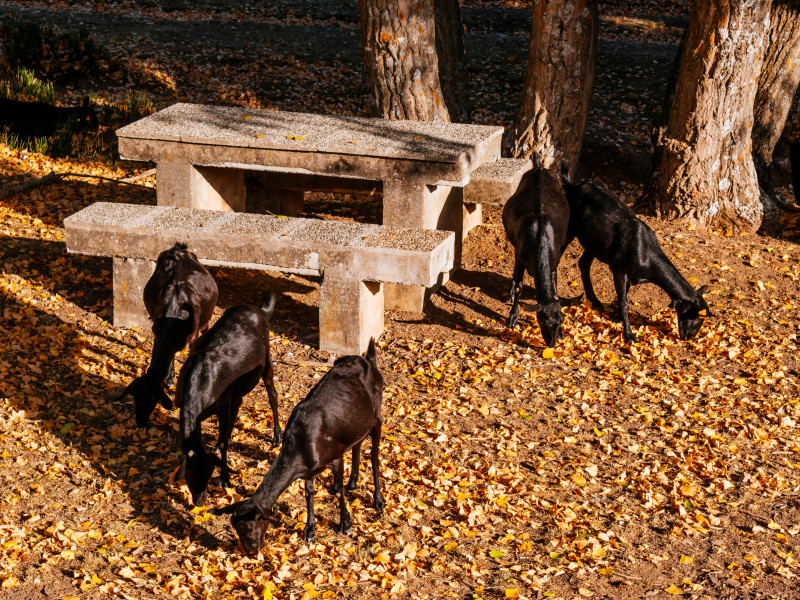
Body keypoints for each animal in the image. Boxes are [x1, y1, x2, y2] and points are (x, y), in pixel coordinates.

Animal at [115, 241, 216, 428]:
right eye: (134, 396)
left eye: (153, 399)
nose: (140, 422)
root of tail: (178, 250)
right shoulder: (157, 330)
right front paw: (169, 378)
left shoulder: (192, 336)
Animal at [176, 292, 282, 508]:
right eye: (191, 474)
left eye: (209, 473)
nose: (201, 501)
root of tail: (258, 309)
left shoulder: (224, 404)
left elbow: (226, 441)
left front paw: (225, 479)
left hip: (267, 357)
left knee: (272, 395)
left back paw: (277, 437)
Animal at [214, 338, 382, 552]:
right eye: (237, 529)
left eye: (249, 529)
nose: (252, 550)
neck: (301, 447)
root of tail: (369, 360)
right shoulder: (309, 469)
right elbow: (309, 492)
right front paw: (310, 530)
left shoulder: (335, 456)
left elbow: (337, 489)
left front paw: (346, 524)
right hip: (357, 423)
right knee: (357, 443)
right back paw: (352, 483)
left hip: (377, 416)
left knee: (375, 455)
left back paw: (378, 501)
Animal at [504, 163, 580, 346]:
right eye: (542, 320)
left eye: (561, 320)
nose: (551, 344)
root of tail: (539, 167)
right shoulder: (520, 256)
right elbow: (519, 286)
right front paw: (513, 316)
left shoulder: (554, 263)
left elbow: (555, 290)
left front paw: (562, 333)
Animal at [564, 179, 712, 342]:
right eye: (696, 315)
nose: (690, 337)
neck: (648, 264)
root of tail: (574, 185)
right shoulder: (618, 269)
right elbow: (624, 302)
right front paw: (629, 335)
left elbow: (623, 297)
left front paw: (617, 317)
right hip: (570, 227)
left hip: (593, 243)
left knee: (583, 263)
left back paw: (595, 301)